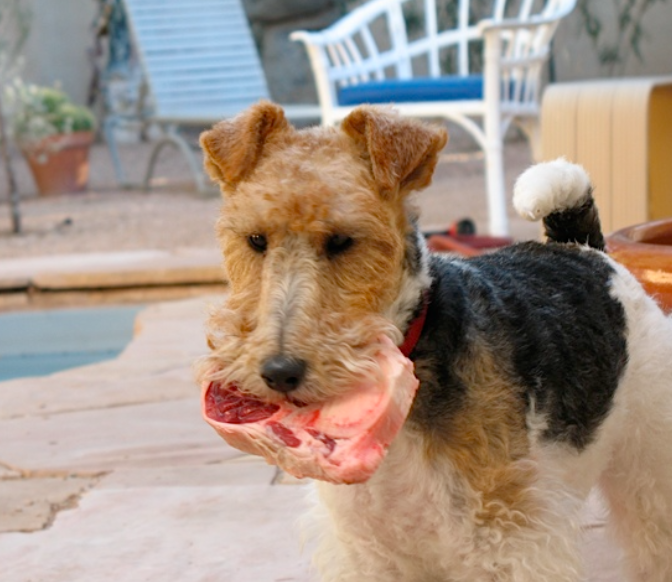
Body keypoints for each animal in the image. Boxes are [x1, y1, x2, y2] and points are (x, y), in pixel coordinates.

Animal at [198, 101, 672, 582]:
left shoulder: (508, 536)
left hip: (651, 463)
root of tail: (582, 248)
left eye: (343, 240)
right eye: (256, 239)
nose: (279, 372)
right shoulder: (366, 548)